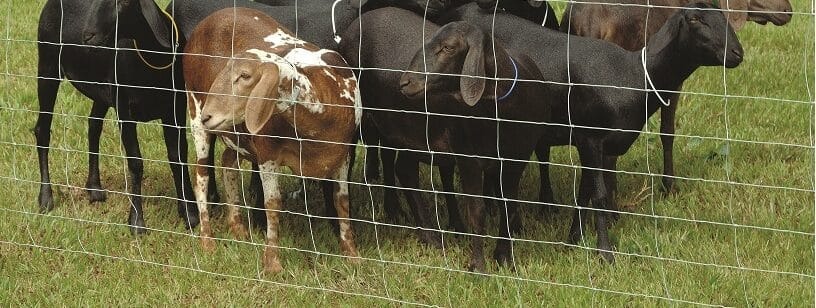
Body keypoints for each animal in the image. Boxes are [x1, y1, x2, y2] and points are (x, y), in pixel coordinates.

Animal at [34, 0, 201, 233]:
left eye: (123, 2)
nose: (88, 36)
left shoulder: (174, 108)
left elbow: (178, 156)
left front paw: (190, 214)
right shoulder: (124, 110)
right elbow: (136, 162)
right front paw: (137, 222)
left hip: (101, 90)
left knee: (93, 125)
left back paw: (94, 188)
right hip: (48, 67)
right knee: (42, 130)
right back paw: (46, 198)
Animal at [185, 7, 364, 274]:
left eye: (245, 75)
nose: (209, 114)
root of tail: (217, 14)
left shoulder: (344, 154)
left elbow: (342, 201)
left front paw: (351, 254)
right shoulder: (267, 152)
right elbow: (273, 203)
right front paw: (272, 263)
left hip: (236, 132)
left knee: (228, 162)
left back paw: (238, 228)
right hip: (195, 111)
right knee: (201, 176)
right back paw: (207, 240)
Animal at [446, 2, 744, 262]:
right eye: (695, 19)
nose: (737, 53)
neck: (635, 77)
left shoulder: (593, 144)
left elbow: (584, 194)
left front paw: (574, 240)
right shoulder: (590, 137)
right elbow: (598, 197)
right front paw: (605, 253)